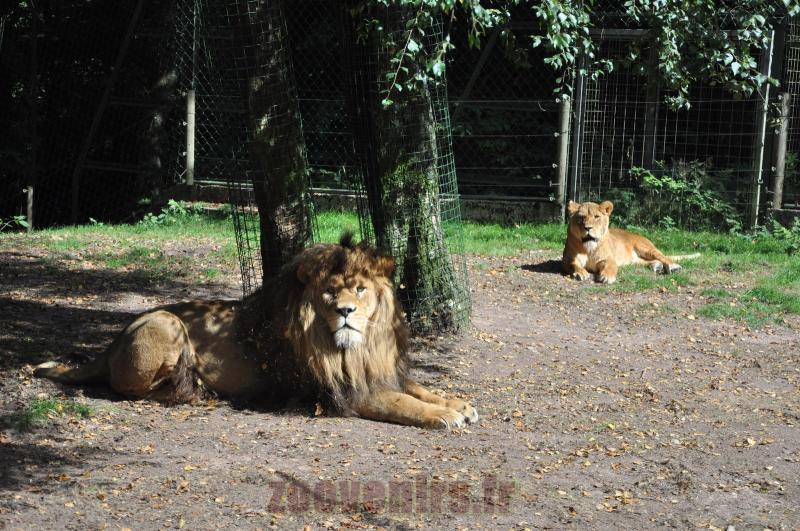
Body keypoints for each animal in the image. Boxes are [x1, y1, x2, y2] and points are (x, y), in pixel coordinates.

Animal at [34, 233, 479, 429]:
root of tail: (109, 346)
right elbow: (402, 403)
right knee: (130, 388)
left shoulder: (384, 372)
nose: (345, 312)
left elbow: (419, 388)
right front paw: (444, 415)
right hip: (166, 322)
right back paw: (195, 389)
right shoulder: (345, 392)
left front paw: (458, 403)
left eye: (360, 289)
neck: (362, 345)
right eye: (330, 291)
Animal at [562, 200, 700, 284]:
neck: (589, 248)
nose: (588, 228)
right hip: (635, 260)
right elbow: (574, 265)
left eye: (596, 217)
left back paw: (673, 267)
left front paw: (607, 277)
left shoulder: (608, 259)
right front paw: (580, 273)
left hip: (646, 248)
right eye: (581, 217)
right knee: (648, 261)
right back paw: (656, 266)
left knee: (664, 257)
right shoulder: (568, 259)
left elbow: (610, 267)